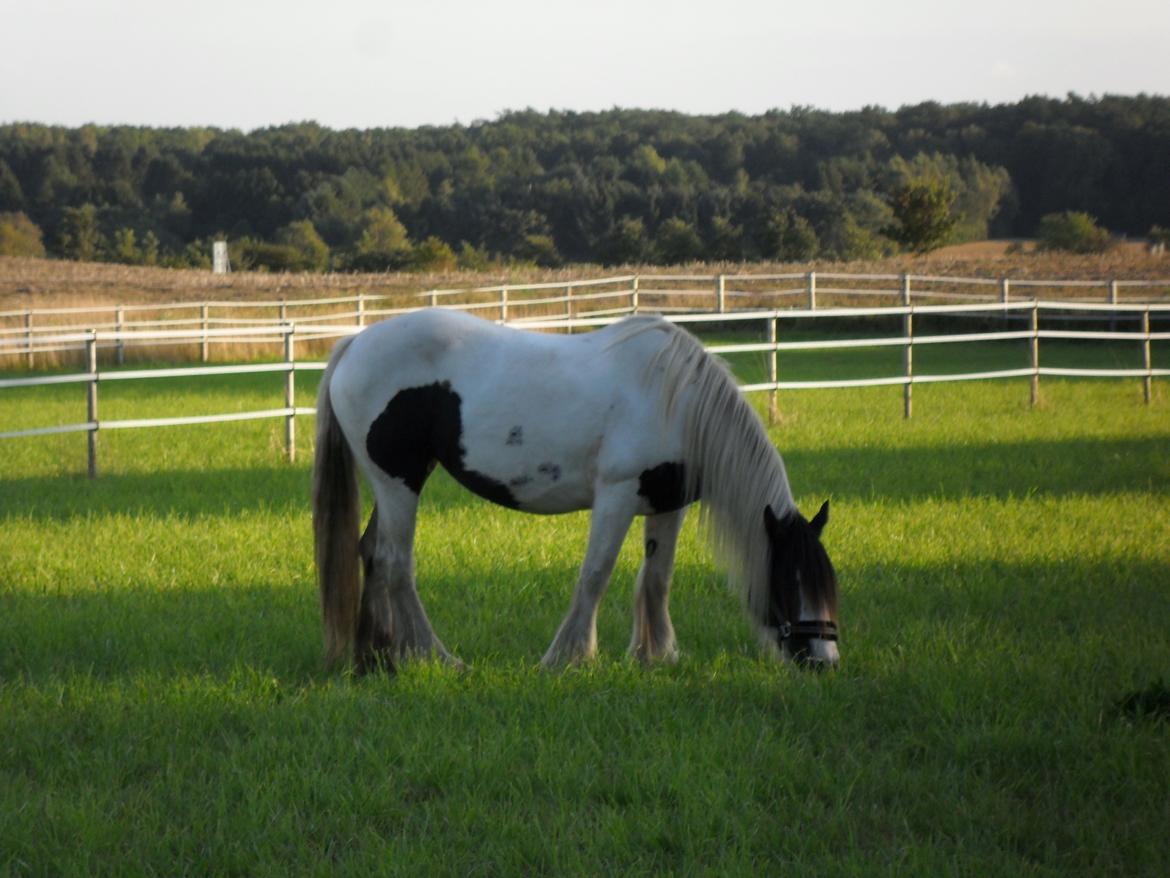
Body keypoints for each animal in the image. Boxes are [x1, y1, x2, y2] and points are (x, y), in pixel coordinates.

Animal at [311, 306, 842, 674]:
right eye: (791, 580)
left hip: (396, 482)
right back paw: (437, 658)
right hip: (398, 482)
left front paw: (655, 655)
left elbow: (657, 577)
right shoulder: (617, 495)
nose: (825, 660)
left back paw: (377, 658)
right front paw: (570, 657)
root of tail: (355, 343)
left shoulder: (666, 505)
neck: (675, 400)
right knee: (396, 564)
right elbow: (596, 574)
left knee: (371, 553)